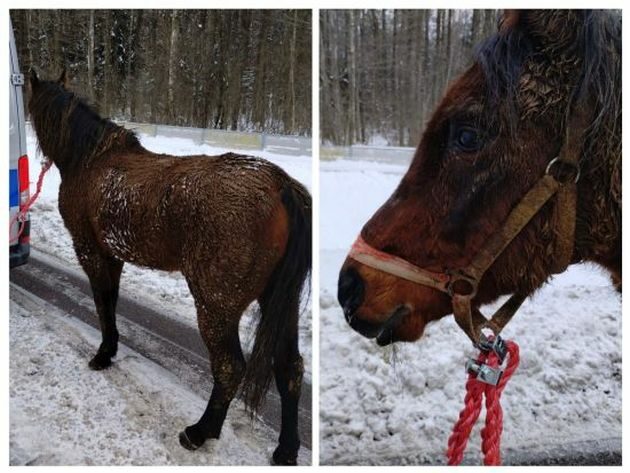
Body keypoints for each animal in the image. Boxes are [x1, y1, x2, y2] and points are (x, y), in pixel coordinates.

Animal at [28, 70, 312, 464]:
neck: (89, 159)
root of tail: (280, 185)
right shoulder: (113, 256)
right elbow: (111, 302)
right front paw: (111, 349)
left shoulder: (91, 252)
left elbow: (102, 304)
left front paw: (103, 355)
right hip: (280, 304)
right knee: (290, 369)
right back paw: (285, 449)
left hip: (216, 306)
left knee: (230, 368)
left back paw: (200, 432)